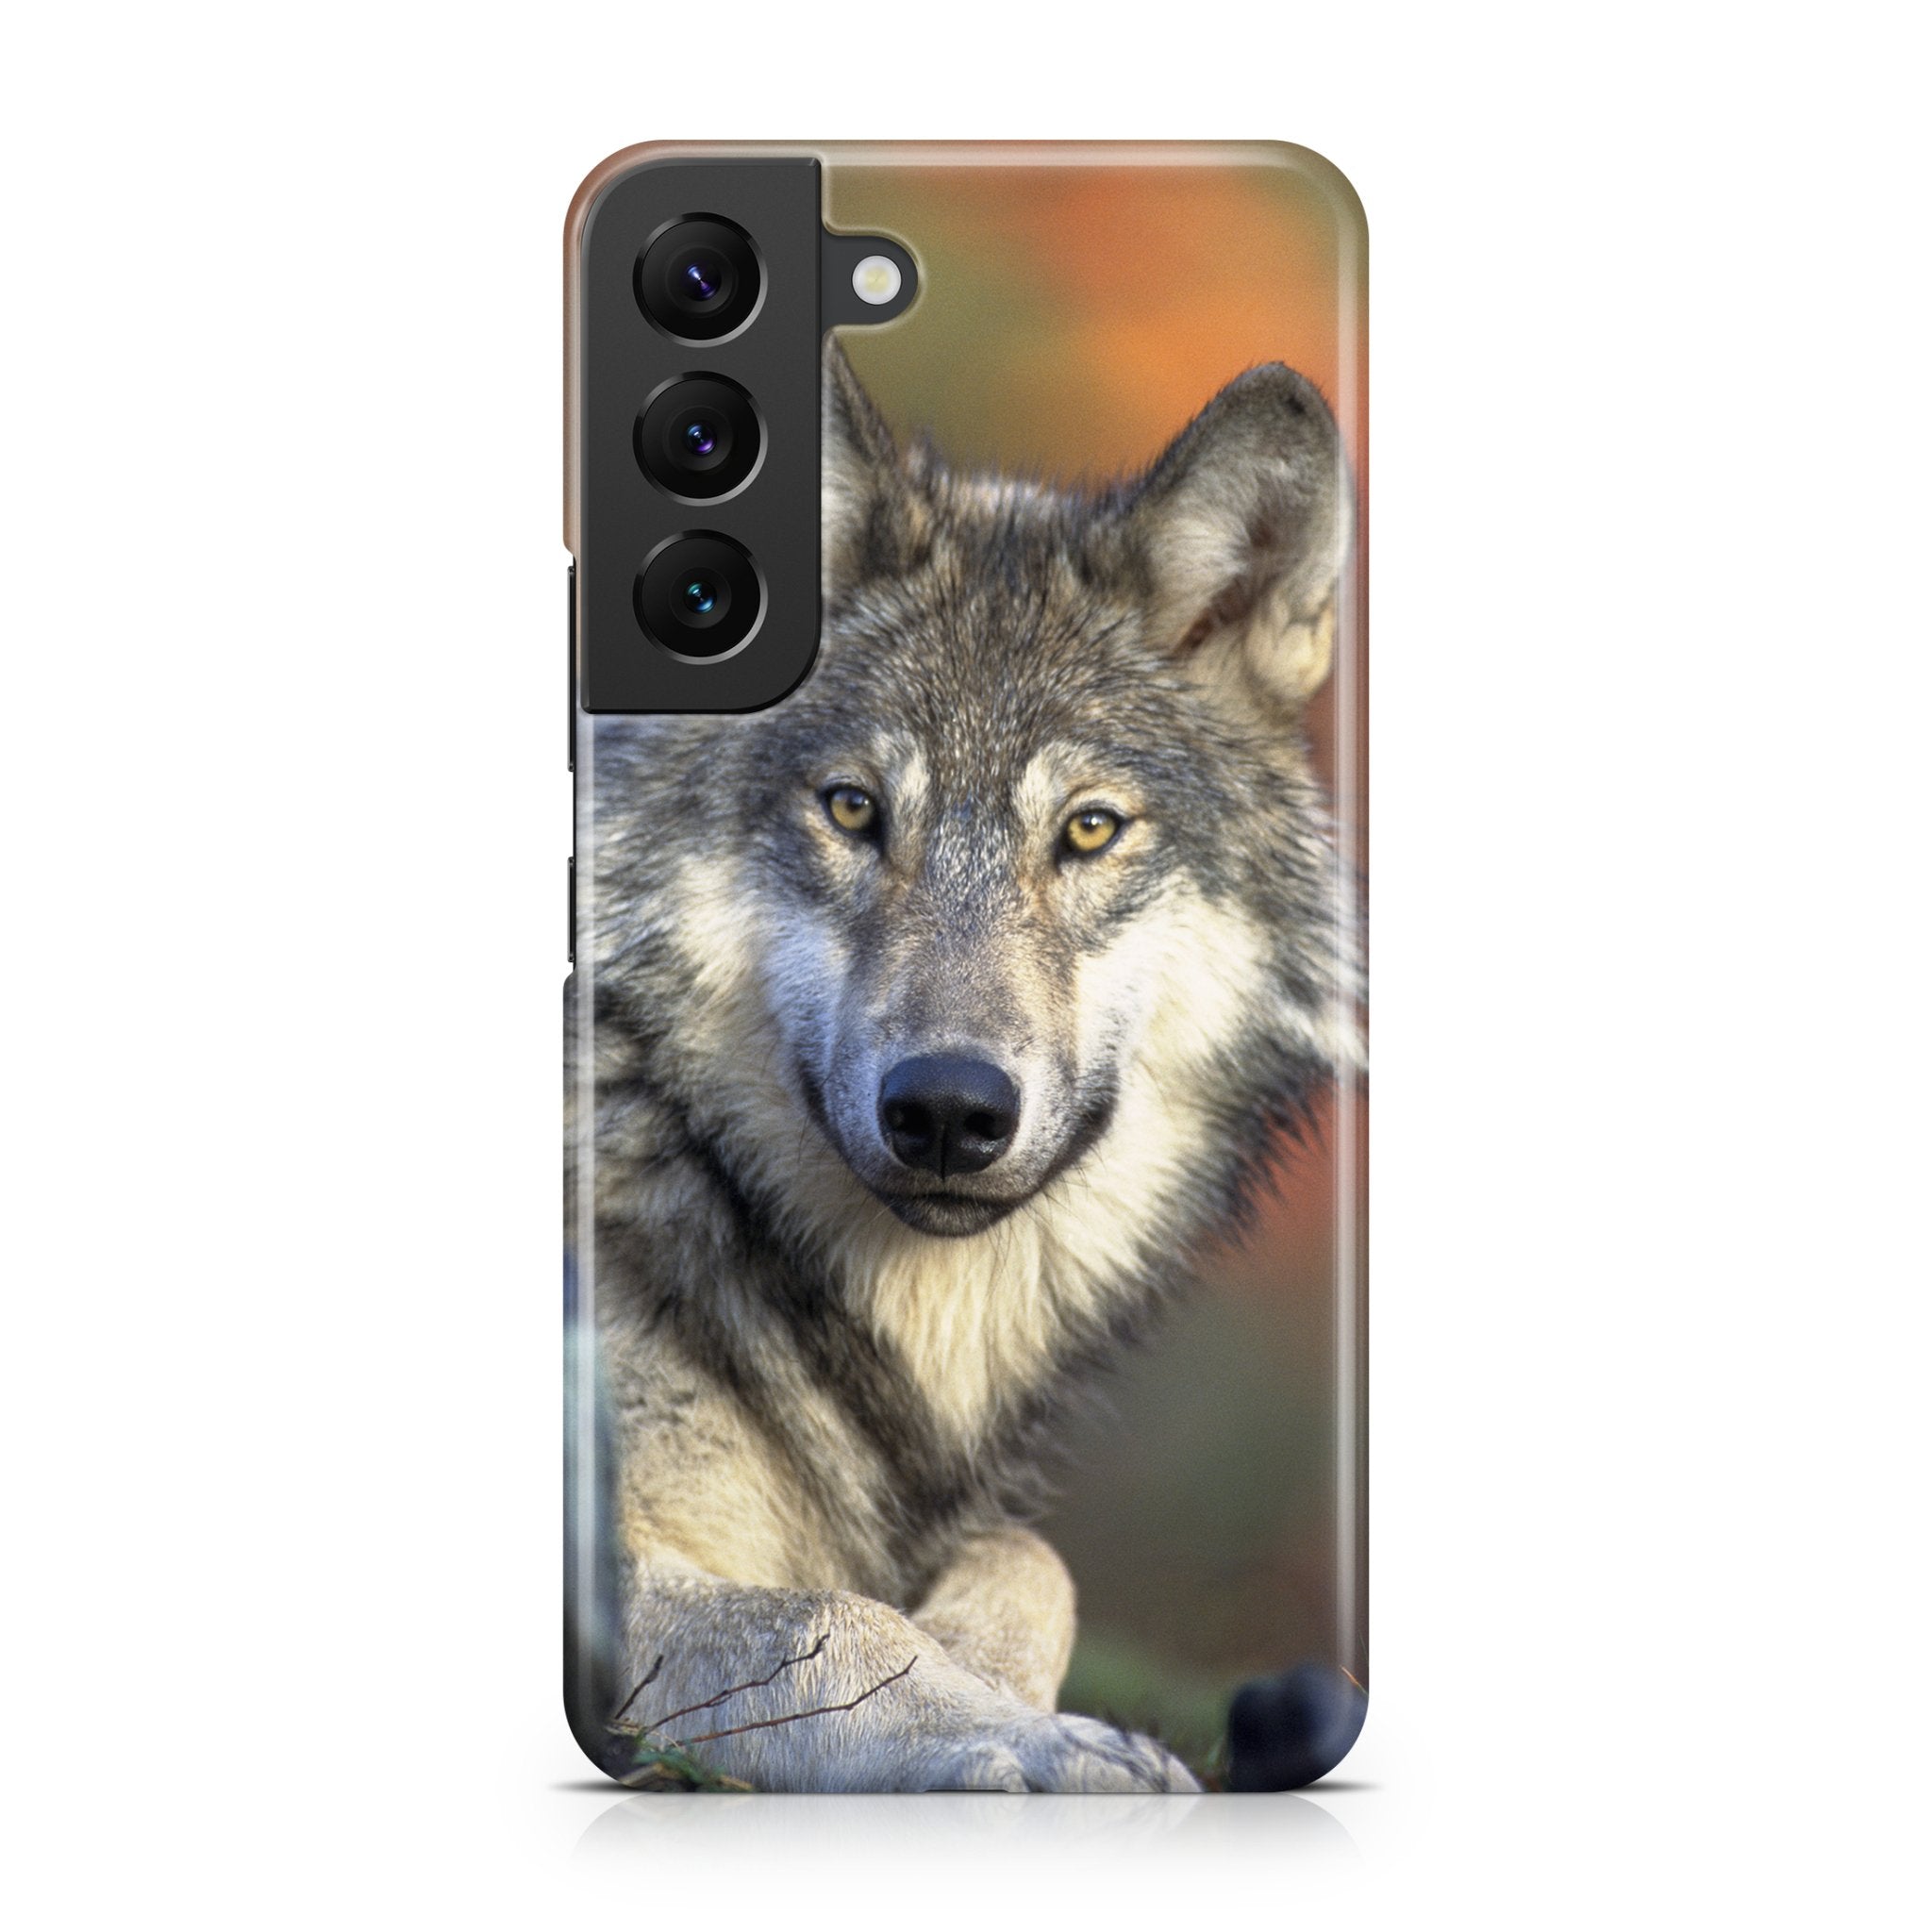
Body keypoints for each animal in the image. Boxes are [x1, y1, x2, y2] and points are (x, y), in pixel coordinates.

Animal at [565, 341, 1359, 1792]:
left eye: (1089, 829)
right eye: (853, 810)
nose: (946, 1109)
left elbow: (1027, 1555)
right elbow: (829, 1618)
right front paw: (1029, 1740)